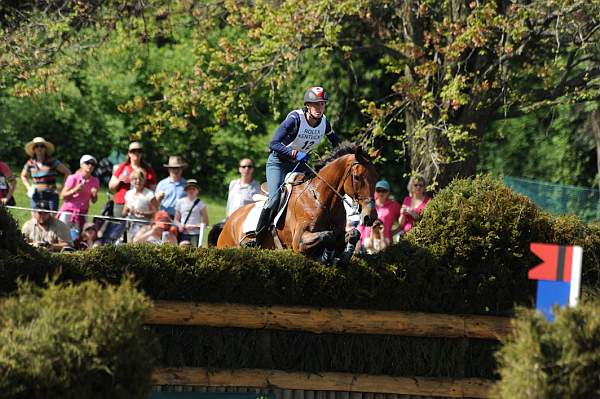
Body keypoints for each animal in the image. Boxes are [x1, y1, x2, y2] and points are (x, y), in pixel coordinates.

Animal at [216, 145, 378, 262]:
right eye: (357, 177)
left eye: (376, 177)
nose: (370, 216)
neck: (322, 200)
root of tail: (230, 220)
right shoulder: (298, 241)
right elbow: (328, 235)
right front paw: (326, 256)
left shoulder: (340, 233)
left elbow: (353, 233)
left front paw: (343, 255)